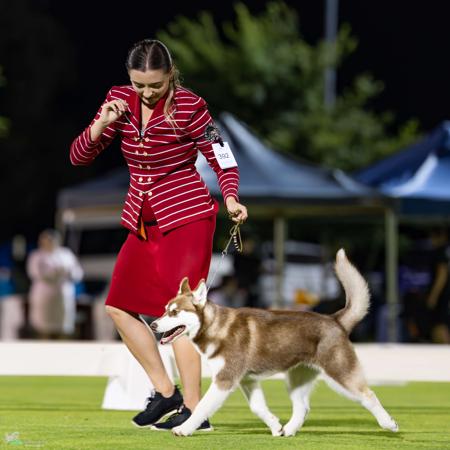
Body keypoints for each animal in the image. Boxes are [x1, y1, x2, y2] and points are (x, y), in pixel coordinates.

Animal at [150, 249, 399, 437]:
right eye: (164, 310)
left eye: (174, 313)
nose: (153, 325)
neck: (214, 327)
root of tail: (334, 319)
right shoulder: (247, 379)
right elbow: (257, 407)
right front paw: (275, 425)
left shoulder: (225, 379)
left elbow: (202, 407)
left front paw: (183, 429)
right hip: (297, 379)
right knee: (303, 407)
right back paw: (289, 430)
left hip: (340, 374)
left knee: (368, 394)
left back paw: (388, 423)